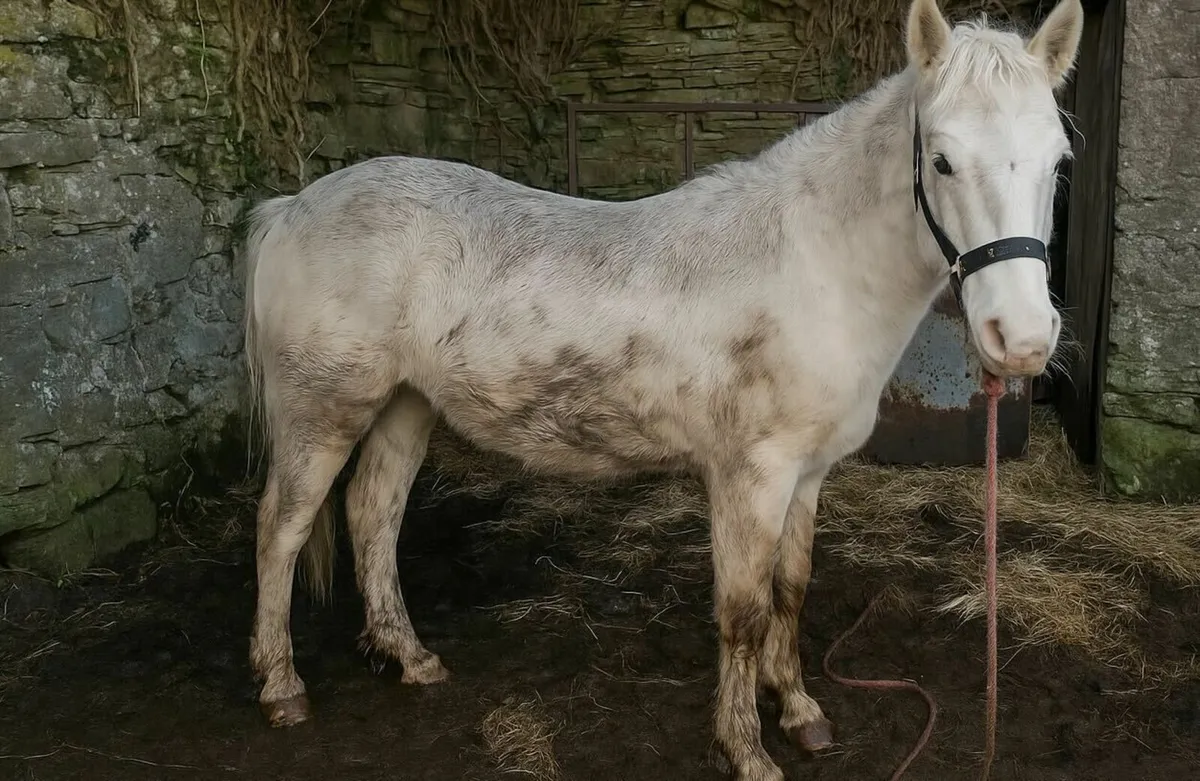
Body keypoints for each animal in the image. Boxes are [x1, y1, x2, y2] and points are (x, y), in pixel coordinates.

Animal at [240, 0, 1084, 777]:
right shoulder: (749, 477)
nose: (1022, 339)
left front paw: (800, 710)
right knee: (282, 529)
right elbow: (743, 611)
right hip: (323, 414)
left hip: (404, 406)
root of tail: (291, 209)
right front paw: (747, 749)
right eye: (941, 161)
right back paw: (282, 688)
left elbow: (791, 589)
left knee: (372, 515)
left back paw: (409, 657)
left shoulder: (807, 475)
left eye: (1057, 161)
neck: (811, 265)